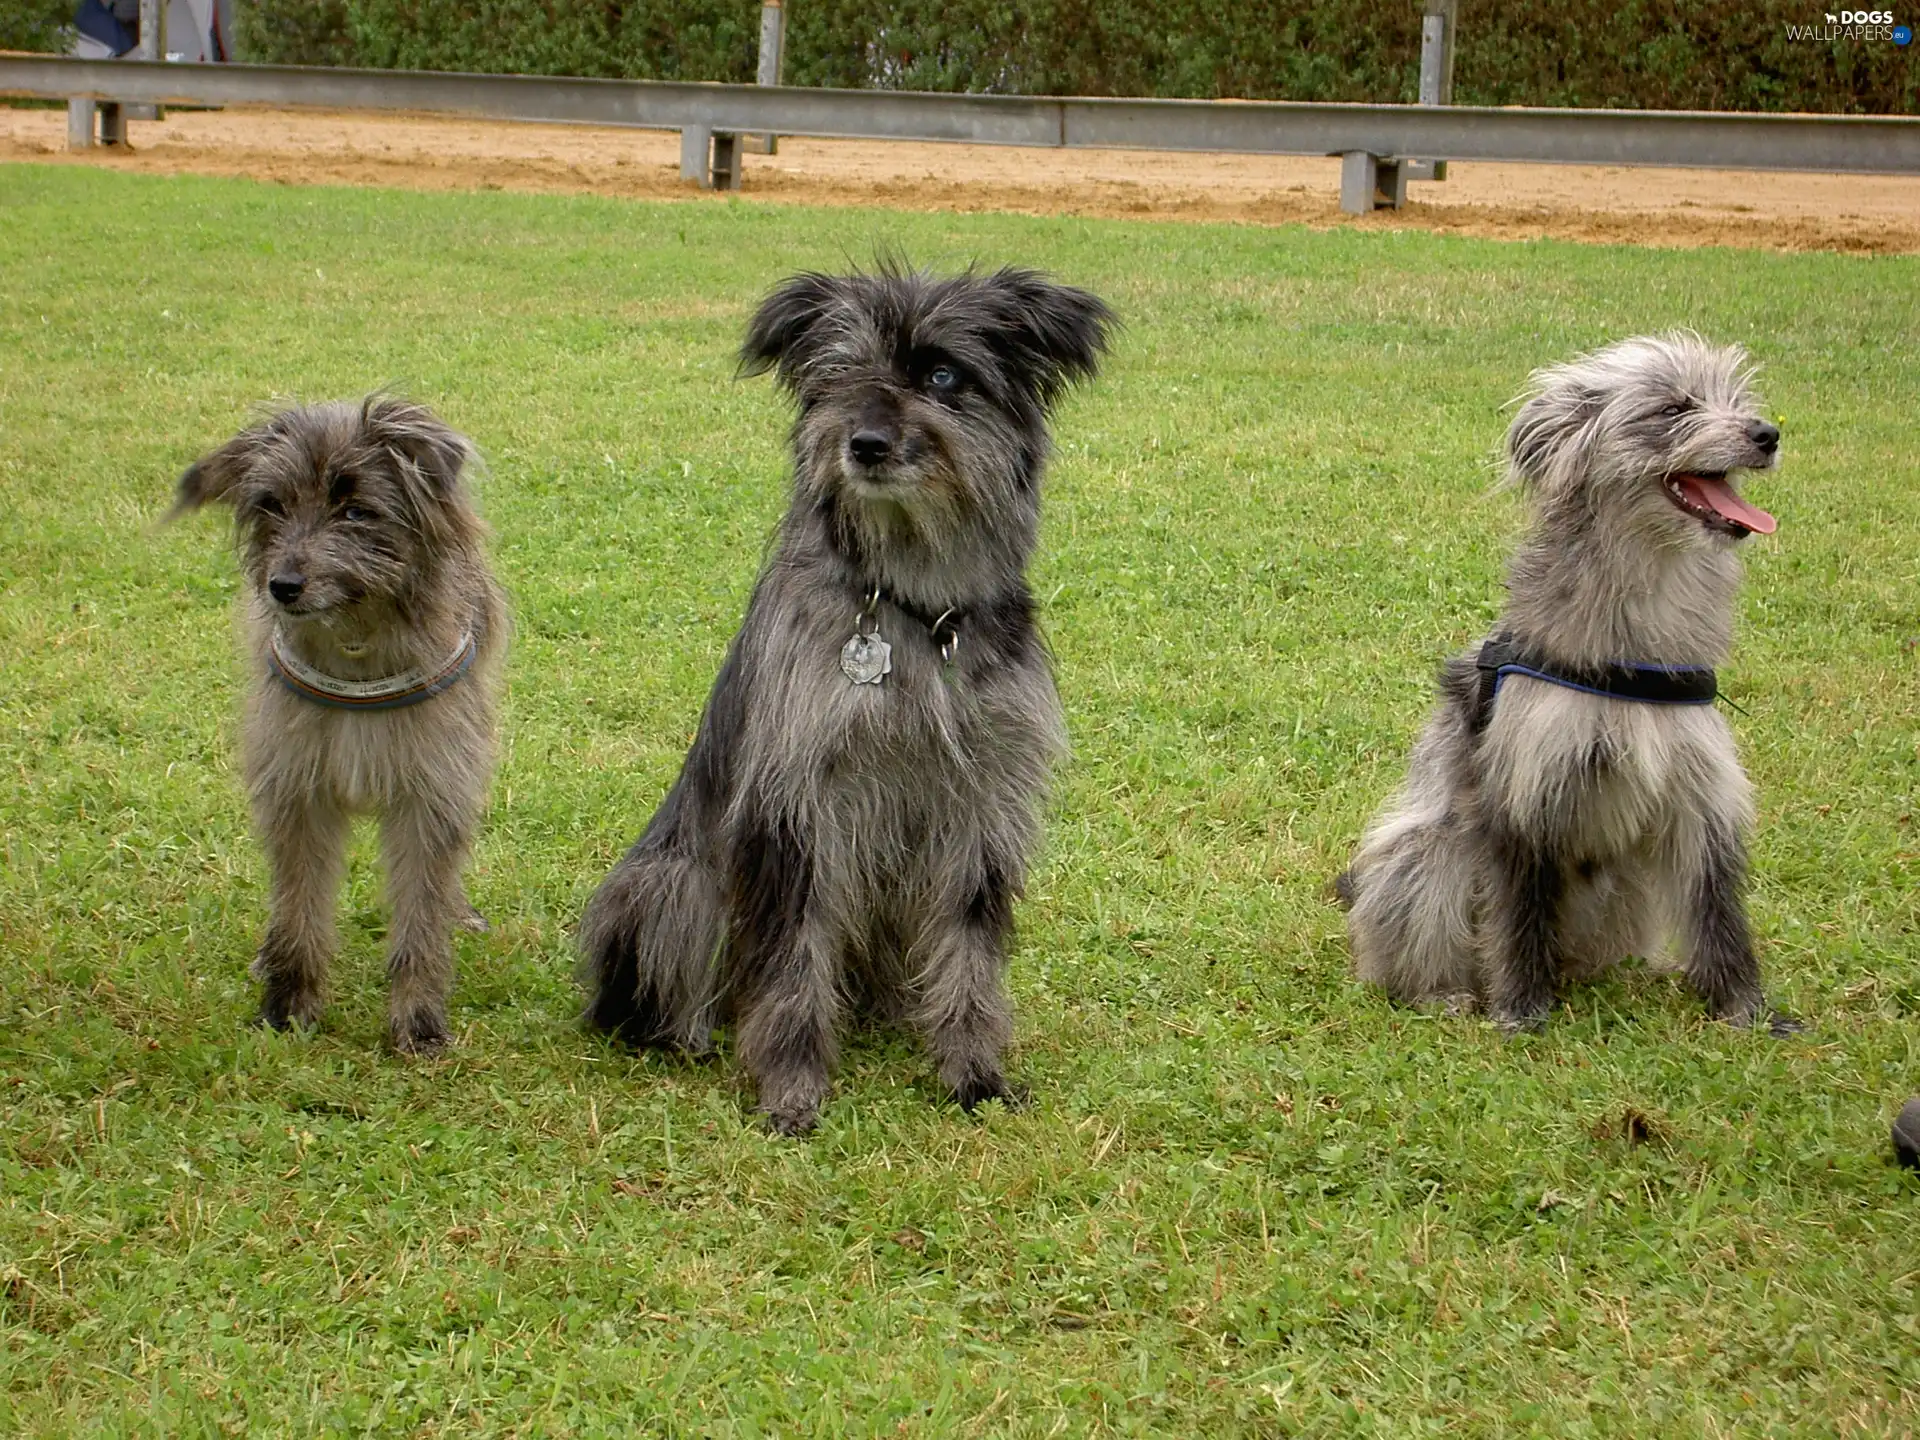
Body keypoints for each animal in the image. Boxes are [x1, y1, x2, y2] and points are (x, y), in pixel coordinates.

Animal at [169, 401, 506, 1052]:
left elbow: (421, 917)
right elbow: (297, 912)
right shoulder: (297, 794)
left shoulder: (432, 793)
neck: (356, 645)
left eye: (355, 510)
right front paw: (287, 1006)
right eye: (273, 504)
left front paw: (417, 1023)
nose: (283, 586)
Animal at [576, 263, 1121, 1136]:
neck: (918, 614)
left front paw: (973, 1072)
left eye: (942, 375)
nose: (861, 445)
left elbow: (968, 953)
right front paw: (792, 1088)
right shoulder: (797, 808)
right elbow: (793, 960)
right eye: (837, 376)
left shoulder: (981, 806)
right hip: (669, 888)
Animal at [1336, 336, 1797, 1036]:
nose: (1767, 434)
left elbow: (1718, 912)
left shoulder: (1702, 798)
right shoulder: (1524, 798)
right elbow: (1519, 914)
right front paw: (1522, 1011)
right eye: (1675, 408)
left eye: (1739, 402)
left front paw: (1744, 1009)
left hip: (1622, 885)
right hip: (1425, 852)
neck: (1635, 647)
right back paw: (1444, 993)